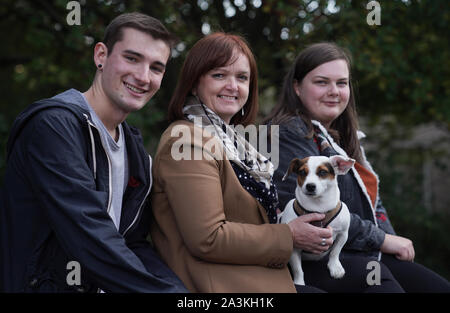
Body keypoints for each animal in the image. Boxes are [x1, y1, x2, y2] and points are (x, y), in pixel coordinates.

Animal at [278, 154, 356, 286]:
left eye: (323, 172)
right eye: (302, 172)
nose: (310, 186)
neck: (318, 207)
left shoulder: (343, 234)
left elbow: (335, 251)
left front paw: (335, 267)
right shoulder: (294, 247)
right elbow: (297, 269)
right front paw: (299, 282)